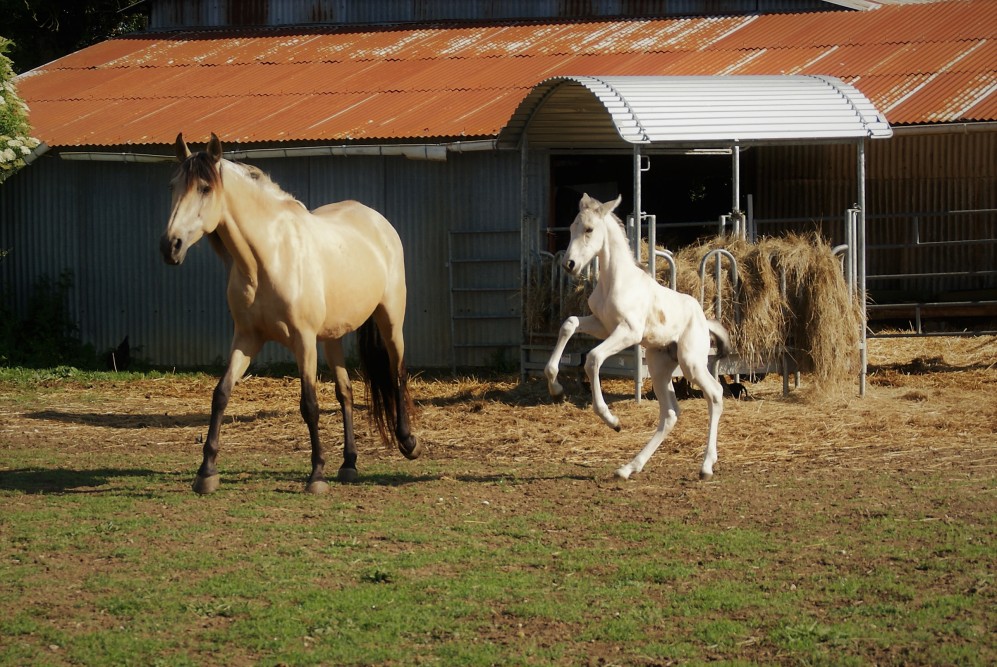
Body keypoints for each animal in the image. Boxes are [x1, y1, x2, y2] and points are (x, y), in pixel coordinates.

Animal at [544, 193, 732, 480]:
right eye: (572, 227)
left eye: (589, 229)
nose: (569, 265)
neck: (615, 281)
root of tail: (704, 320)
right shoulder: (602, 325)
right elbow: (569, 324)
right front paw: (556, 388)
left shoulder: (628, 331)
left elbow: (593, 358)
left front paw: (612, 420)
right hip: (659, 365)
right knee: (670, 413)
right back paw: (628, 468)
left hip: (691, 362)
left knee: (715, 394)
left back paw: (706, 466)